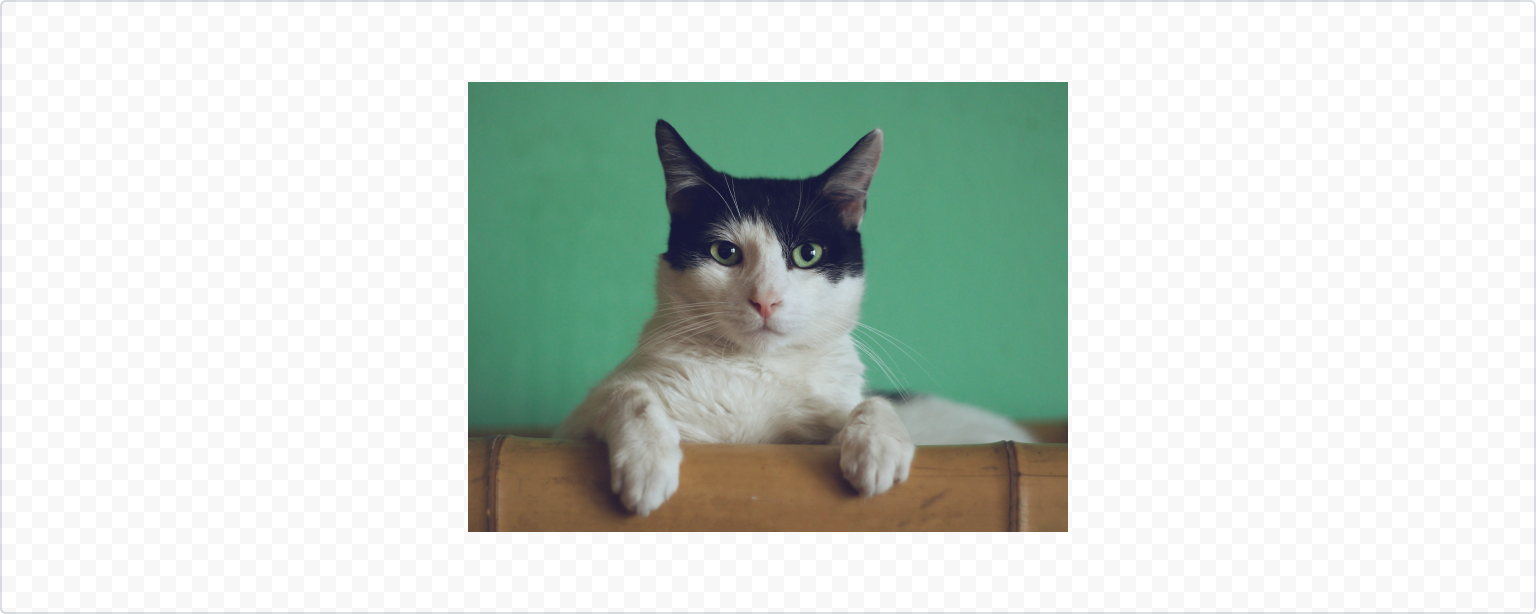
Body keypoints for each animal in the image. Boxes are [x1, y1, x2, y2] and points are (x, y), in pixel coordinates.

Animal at [552, 118, 1032, 512]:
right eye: (724, 252)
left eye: (808, 254)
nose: (766, 299)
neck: (755, 372)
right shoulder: (569, 429)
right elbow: (627, 393)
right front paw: (648, 464)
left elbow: (869, 403)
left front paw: (877, 447)